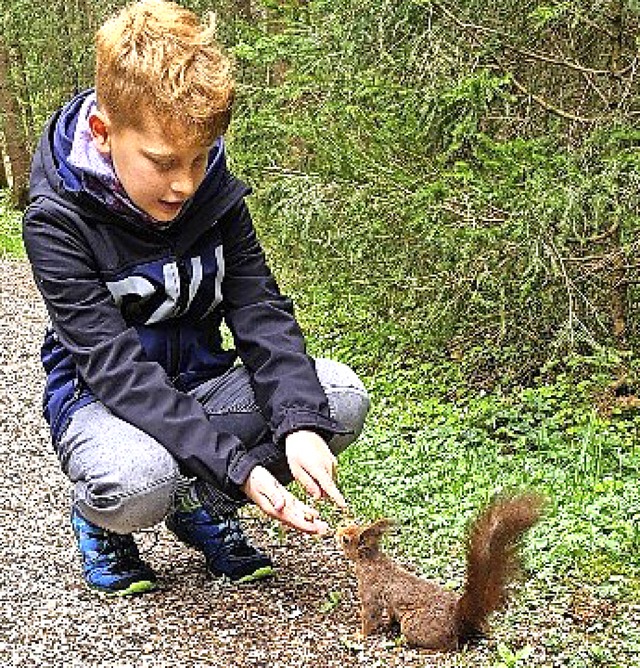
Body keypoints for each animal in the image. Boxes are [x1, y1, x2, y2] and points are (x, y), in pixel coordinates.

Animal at [338, 494, 544, 648]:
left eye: (346, 539)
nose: (337, 532)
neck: (370, 561)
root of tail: (459, 618)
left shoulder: (370, 590)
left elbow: (370, 615)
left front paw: (359, 635)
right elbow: (389, 612)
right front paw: (388, 623)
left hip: (413, 623)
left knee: (449, 645)